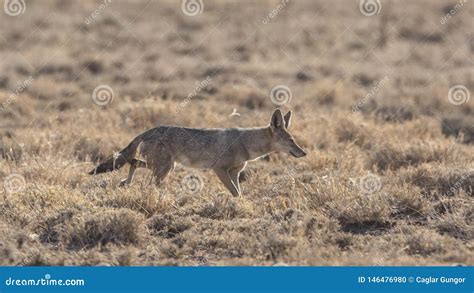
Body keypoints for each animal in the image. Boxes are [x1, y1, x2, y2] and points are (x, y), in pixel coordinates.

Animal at [89, 108, 306, 195]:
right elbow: (235, 192)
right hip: (164, 168)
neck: (246, 143)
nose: (303, 153)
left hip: (165, 166)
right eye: (291, 141)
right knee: (148, 180)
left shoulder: (235, 172)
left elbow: (239, 192)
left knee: (133, 162)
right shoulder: (220, 170)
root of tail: (150, 129)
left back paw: (125, 183)